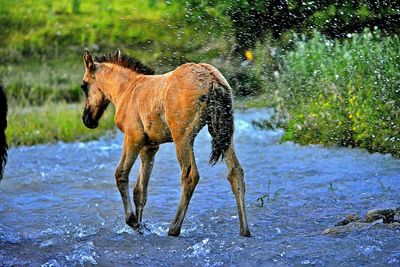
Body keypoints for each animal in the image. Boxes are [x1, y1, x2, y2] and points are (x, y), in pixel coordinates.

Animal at [81, 49, 250, 237]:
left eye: (84, 85)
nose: (87, 119)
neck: (124, 91)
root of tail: (212, 79)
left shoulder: (133, 137)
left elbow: (121, 174)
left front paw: (134, 222)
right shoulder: (150, 147)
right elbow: (140, 190)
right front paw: (141, 225)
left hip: (183, 136)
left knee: (190, 176)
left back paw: (174, 228)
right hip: (223, 133)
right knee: (235, 172)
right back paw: (245, 230)